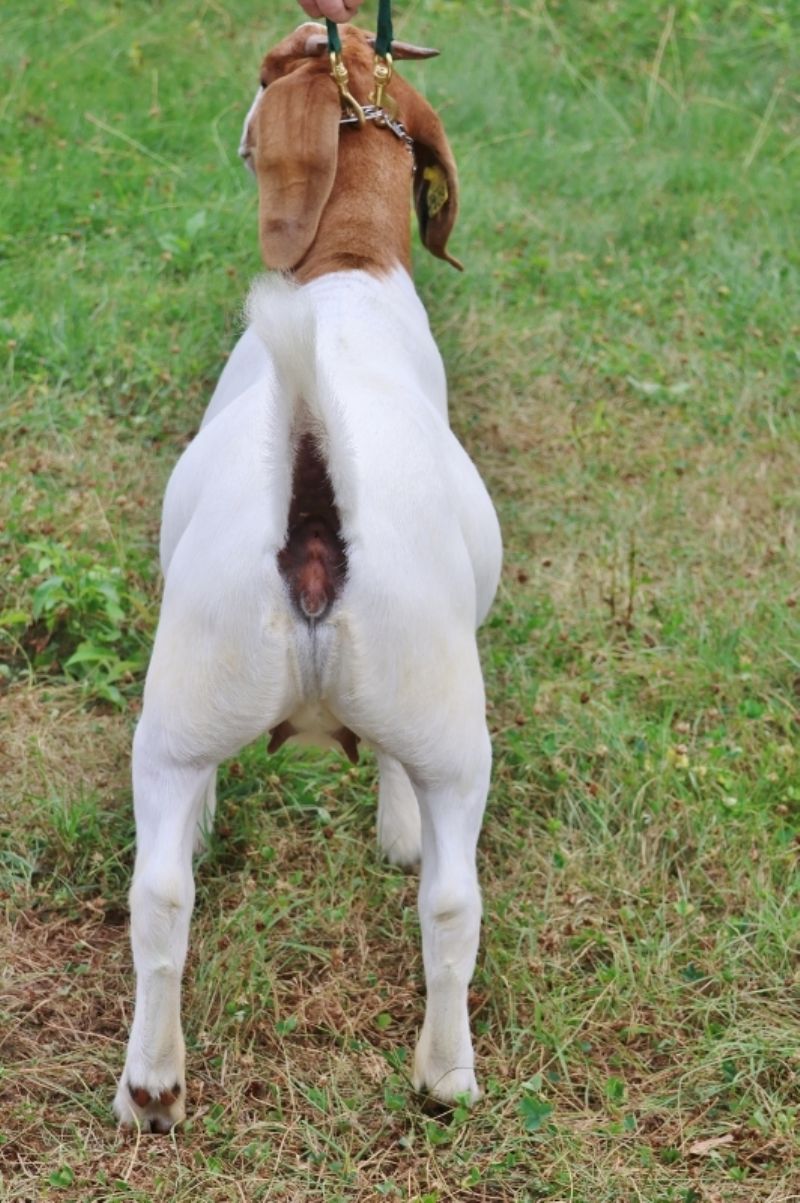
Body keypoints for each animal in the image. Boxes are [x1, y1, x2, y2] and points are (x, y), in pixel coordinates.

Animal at [114, 22, 502, 1132]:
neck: (347, 267)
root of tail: (318, 512)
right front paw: (397, 831)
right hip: (452, 730)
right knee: (451, 899)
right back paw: (445, 1074)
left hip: (183, 707)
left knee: (161, 892)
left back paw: (152, 1086)